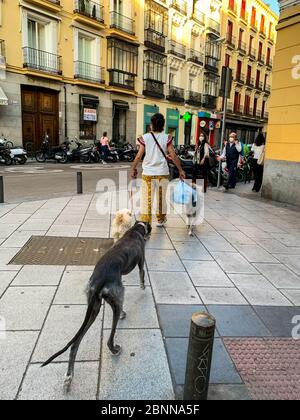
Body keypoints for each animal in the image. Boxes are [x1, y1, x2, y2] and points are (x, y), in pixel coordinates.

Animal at [41, 221, 151, 392]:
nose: (150, 232)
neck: (134, 230)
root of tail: (99, 279)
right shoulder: (141, 260)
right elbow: (141, 275)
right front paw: (143, 287)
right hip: (115, 299)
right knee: (110, 337)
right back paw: (115, 347)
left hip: (94, 308)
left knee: (75, 345)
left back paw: (69, 377)